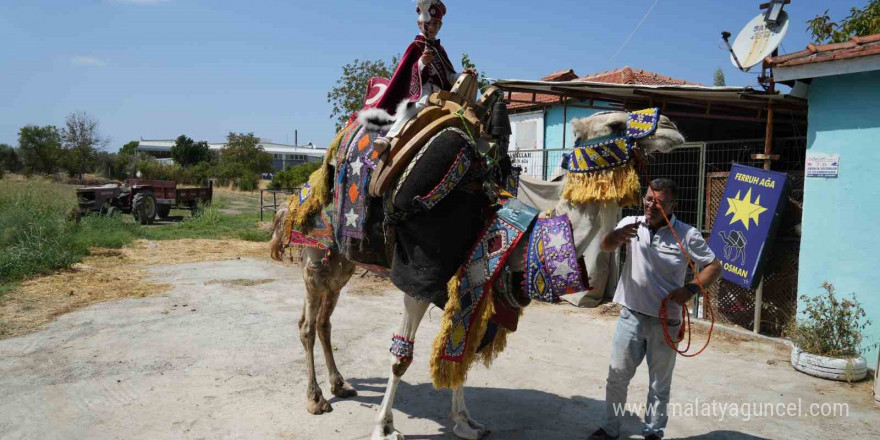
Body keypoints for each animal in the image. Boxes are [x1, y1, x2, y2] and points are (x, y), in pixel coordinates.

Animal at [272, 74, 684, 438]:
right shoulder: (419, 278)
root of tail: (304, 186)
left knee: (325, 321)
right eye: (615, 122)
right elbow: (401, 357)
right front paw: (384, 428)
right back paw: (316, 398)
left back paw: (340, 385)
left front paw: (465, 423)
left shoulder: (474, 283)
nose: (672, 127)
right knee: (307, 324)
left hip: (342, 262)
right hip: (315, 254)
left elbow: (464, 351)